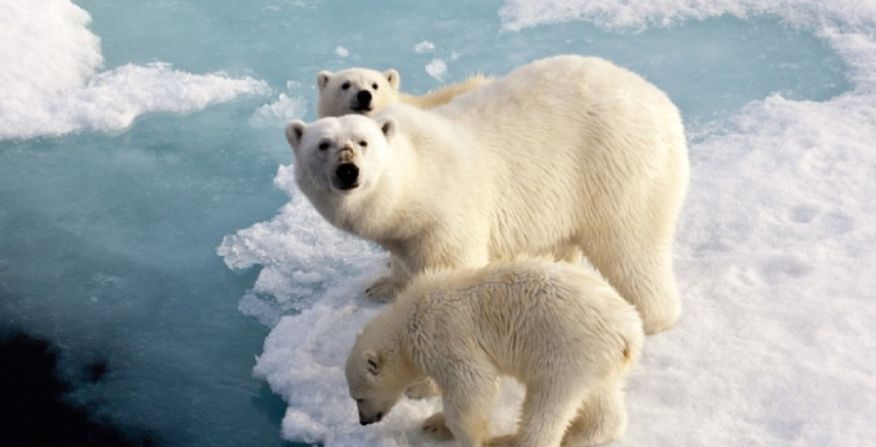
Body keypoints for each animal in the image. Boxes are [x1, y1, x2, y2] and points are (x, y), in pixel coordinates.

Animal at [288, 56, 692, 334]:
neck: (417, 175)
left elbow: (452, 273)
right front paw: (382, 286)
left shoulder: (449, 215)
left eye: (363, 142)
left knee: (632, 247)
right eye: (323, 144)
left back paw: (649, 317)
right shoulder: (408, 232)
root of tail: (662, 103)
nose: (348, 171)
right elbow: (402, 262)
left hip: (618, 168)